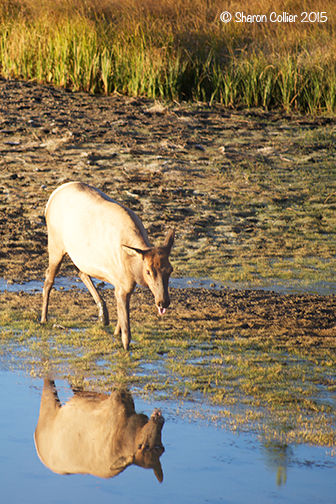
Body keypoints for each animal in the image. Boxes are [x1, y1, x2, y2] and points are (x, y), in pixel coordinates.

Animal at [40, 181, 175, 350]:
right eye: (148, 271)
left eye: (170, 270)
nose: (163, 301)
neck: (133, 267)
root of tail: (51, 197)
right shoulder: (122, 285)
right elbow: (126, 331)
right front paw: (125, 346)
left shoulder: (125, 284)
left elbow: (122, 314)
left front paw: (116, 331)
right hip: (55, 244)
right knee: (48, 278)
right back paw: (44, 318)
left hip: (79, 255)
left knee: (81, 272)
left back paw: (103, 314)